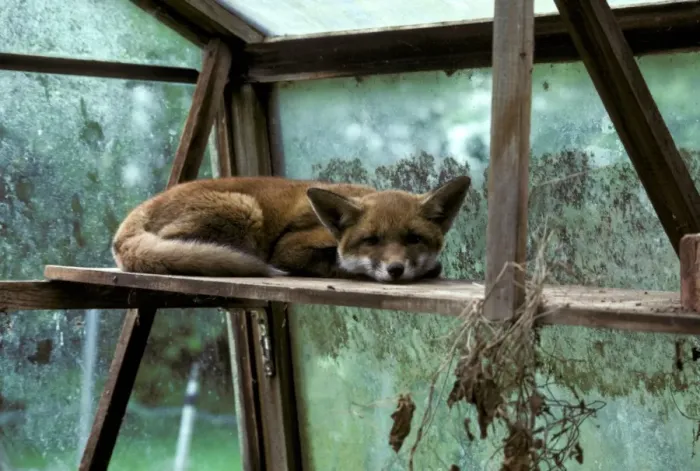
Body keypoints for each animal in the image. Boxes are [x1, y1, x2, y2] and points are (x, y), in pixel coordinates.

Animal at [111, 175, 471, 283]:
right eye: (371, 240)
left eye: (414, 239)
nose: (395, 270)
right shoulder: (289, 248)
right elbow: (337, 265)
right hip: (245, 209)